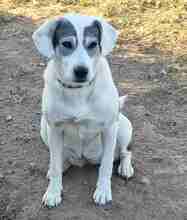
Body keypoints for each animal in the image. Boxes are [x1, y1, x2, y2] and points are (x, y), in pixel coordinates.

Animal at [32, 14, 134, 208]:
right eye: (66, 44)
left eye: (92, 44)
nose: (81, 71)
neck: (77, 91)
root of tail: (83, 159)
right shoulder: (55, 128)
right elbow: (55, 165)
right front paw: (53, 192)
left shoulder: (110, 128)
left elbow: (106, 166)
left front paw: (103, 191)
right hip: (44, 129)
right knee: (59, 159)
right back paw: (62, 165)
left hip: (123, 127)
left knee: (124, 152)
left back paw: (125, 167)